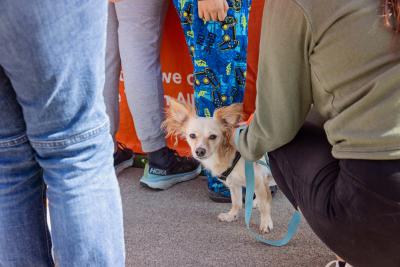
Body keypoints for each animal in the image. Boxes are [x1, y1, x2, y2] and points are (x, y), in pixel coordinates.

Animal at [162, 99, 272, 233]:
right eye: (192, 136)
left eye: (213, 137)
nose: (200, 151)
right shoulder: (234, 184)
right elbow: (236, 202)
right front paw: (231, 216)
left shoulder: (259, 181)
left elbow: (265, 205)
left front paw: (266, 223)